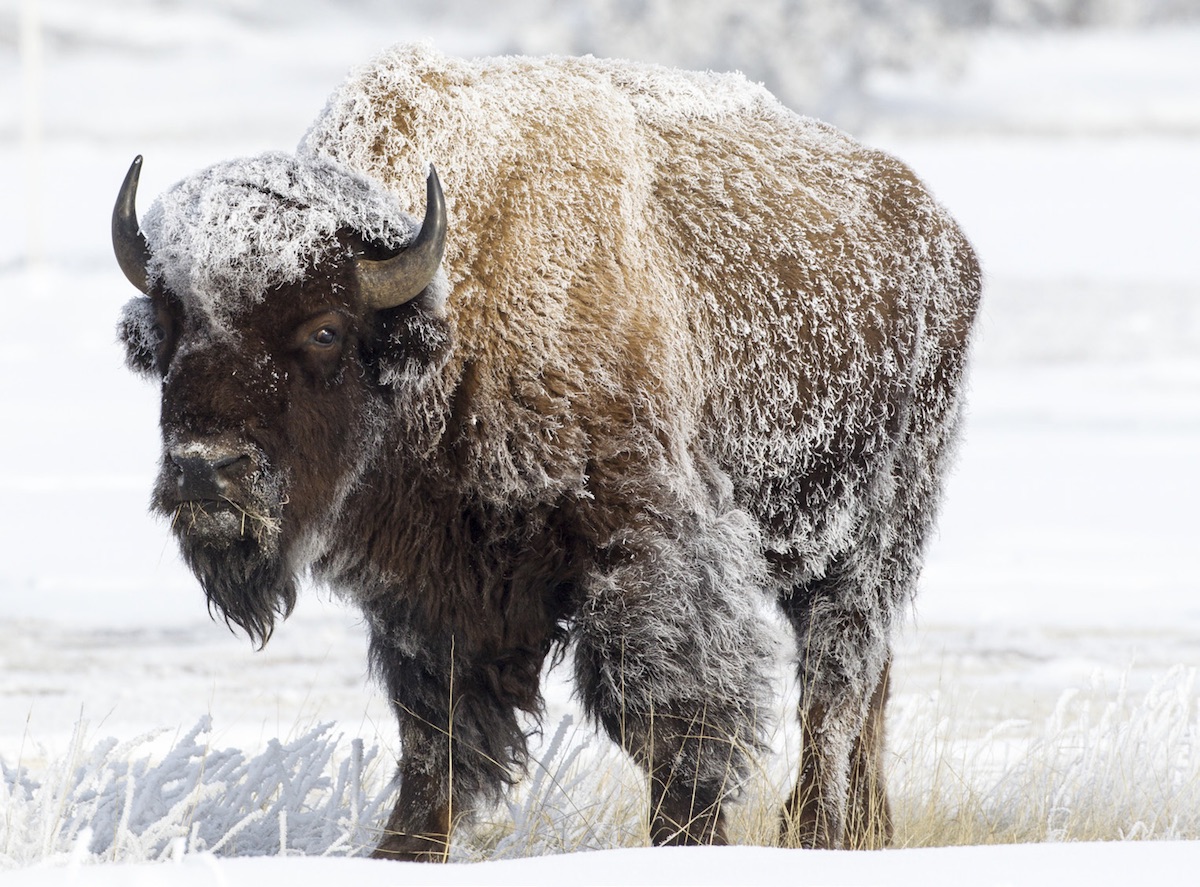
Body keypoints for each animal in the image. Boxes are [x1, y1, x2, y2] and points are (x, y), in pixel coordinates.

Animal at [112, 45, 979, 864]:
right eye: (170, 324)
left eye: (325, 327)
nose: (205, 468)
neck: (454, 310)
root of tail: (941, 235)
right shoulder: (434, 594)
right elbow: (435, 739)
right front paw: (400, 850)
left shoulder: (649, 559)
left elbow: (669, 719)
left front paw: (690, 839)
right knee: (868, 682)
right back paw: (861, 831)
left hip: (869, 537)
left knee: (837, 682)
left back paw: (818, 829)